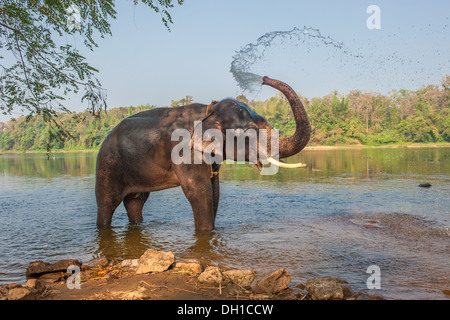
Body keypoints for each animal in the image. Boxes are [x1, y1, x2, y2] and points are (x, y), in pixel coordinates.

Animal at [96, 78, 312, 232]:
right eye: (249, 132)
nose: (264, 79)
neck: (209, 111)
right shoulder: (185, 152)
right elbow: (198, 192)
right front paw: (206, 232)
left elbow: (214, 190)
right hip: (108, 165)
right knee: (107, 203)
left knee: (135, 202)